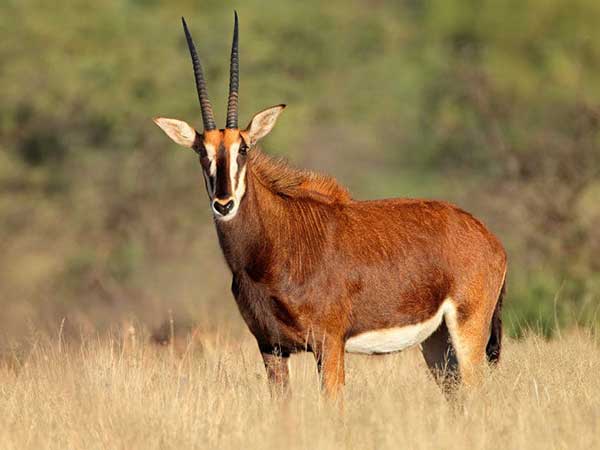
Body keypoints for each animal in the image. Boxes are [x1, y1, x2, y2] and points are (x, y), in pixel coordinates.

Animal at [154, 12, 506, 396]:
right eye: (201, 151)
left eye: (243, 148)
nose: (223, 204)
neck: (274, 247)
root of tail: (488, 237)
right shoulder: (271, 347)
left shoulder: (329, 343)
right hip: (436, 341)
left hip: (468, 330)